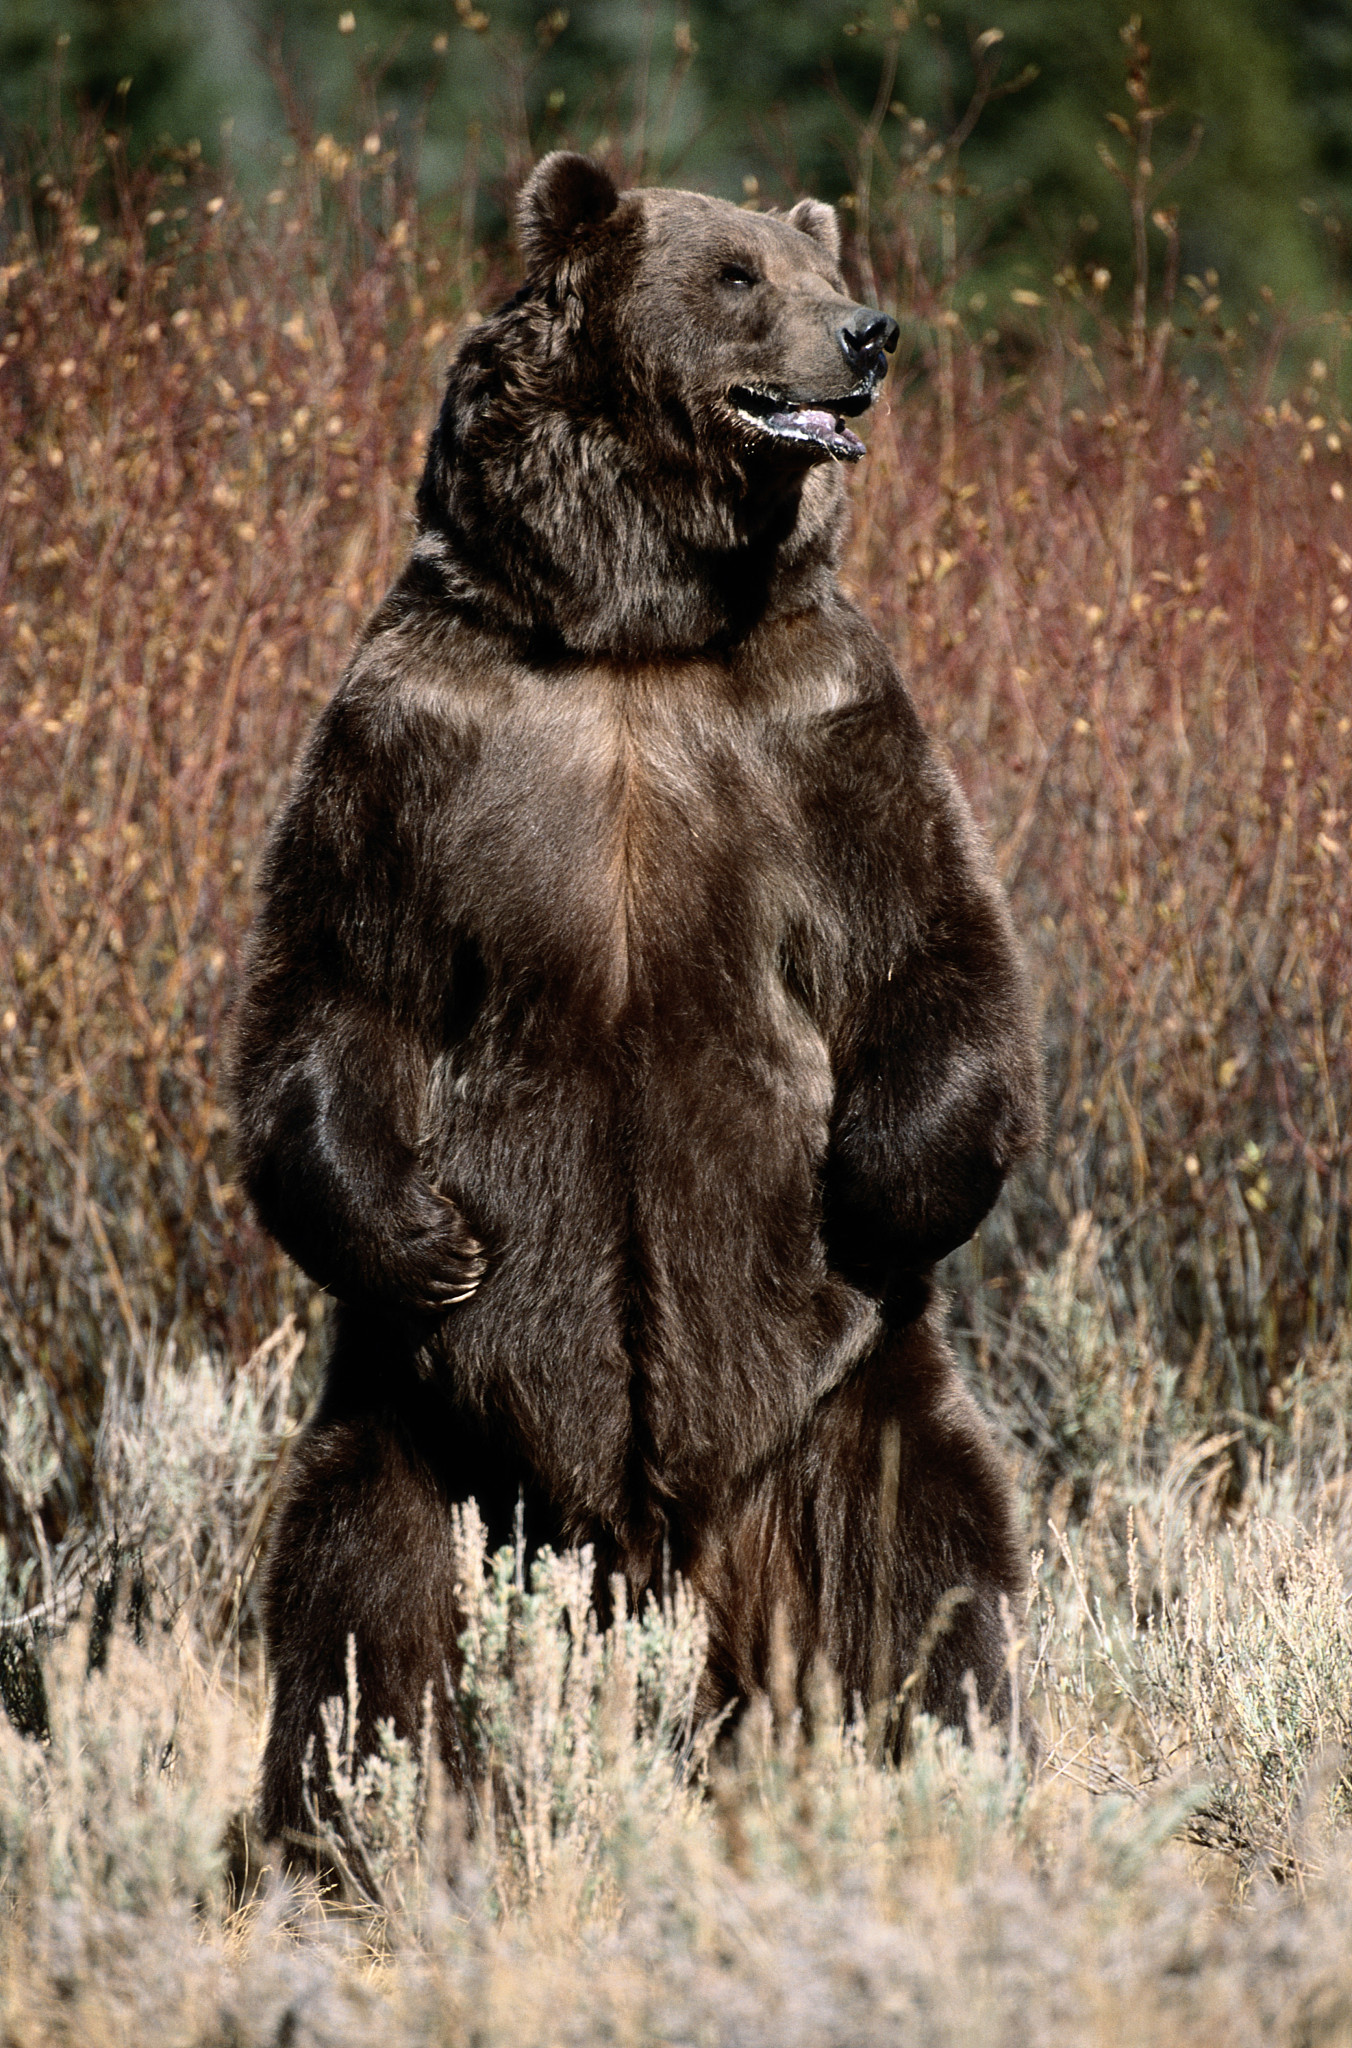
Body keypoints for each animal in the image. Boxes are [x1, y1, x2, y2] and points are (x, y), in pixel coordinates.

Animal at [231, 151, 1043, 1850]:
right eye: (737, 276)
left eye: (814, 263)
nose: (868, 334)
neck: (630, 629)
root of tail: (657, 1547)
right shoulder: (420, 731)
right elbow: (335, 985)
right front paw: (431, 1237)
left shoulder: (821, 726)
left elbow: (928, 943)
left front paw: (872, 1186)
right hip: (422, 1425)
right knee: (368, 1604)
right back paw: (350, 1825)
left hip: (844, 1405)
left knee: (926, 1568)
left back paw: (938, 1776)